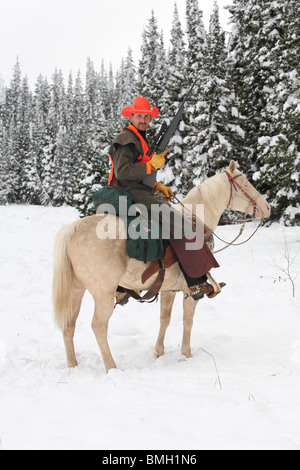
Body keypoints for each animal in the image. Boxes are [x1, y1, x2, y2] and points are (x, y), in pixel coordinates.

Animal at [52, 162, 270, 370]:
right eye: (244, 185)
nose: (267, 207)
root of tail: (74, 228)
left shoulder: (168, 290)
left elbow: (164, 319)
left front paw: (159, 352)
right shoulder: (190, 292)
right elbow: (188, 321)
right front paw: (186, 354)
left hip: (76, 290)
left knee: (68, 326)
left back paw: (73, 365)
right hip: (102, 293)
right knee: (98, 326)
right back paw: (112, 368)